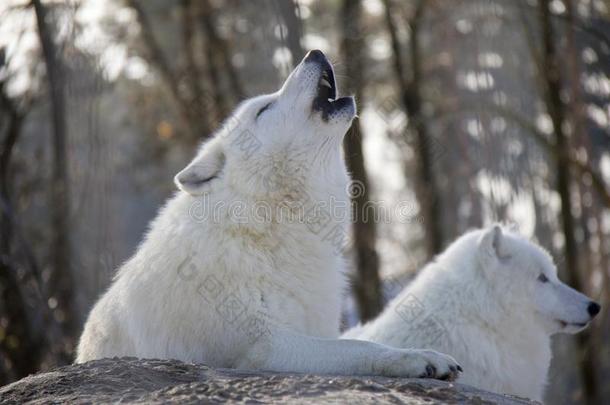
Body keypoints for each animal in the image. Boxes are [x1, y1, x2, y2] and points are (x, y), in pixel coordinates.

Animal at [75, 49, 456, 378]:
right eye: (264, 109)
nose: (314, 52)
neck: (266, 226)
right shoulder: (264, 347)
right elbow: (358, 347)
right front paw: (417, 358)